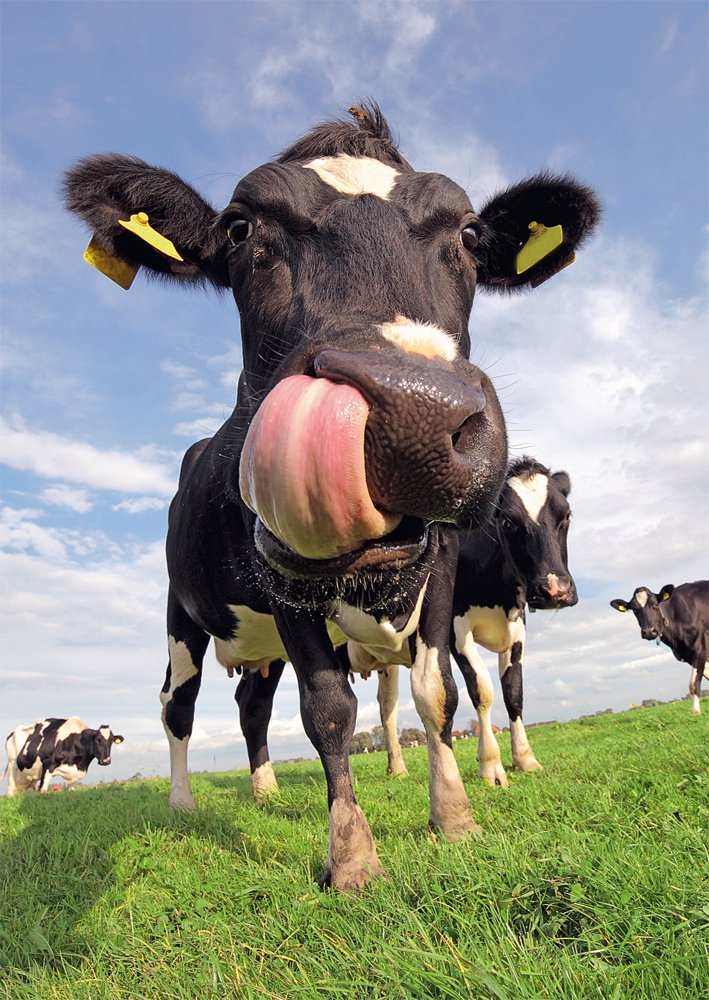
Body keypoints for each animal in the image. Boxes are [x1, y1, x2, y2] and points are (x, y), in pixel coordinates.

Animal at [64, 102, 599, 890]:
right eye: (239, 228)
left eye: (470, 234)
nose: (415, 412)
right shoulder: (282, 575)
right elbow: (327, 709)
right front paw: (350, 855)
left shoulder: (441, 570)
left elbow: (437, 693)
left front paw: (455, 817)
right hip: (180, 616)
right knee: (177, 704)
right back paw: (184, 802)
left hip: (259, 646)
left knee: (251, 704)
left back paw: (262, 788)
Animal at [611, 581, 709, 714]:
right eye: (635, 609)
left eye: (655, 604)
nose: (648, 632)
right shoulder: (687, 653)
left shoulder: (700, 647)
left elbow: (693, 684)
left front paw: (695, 711)